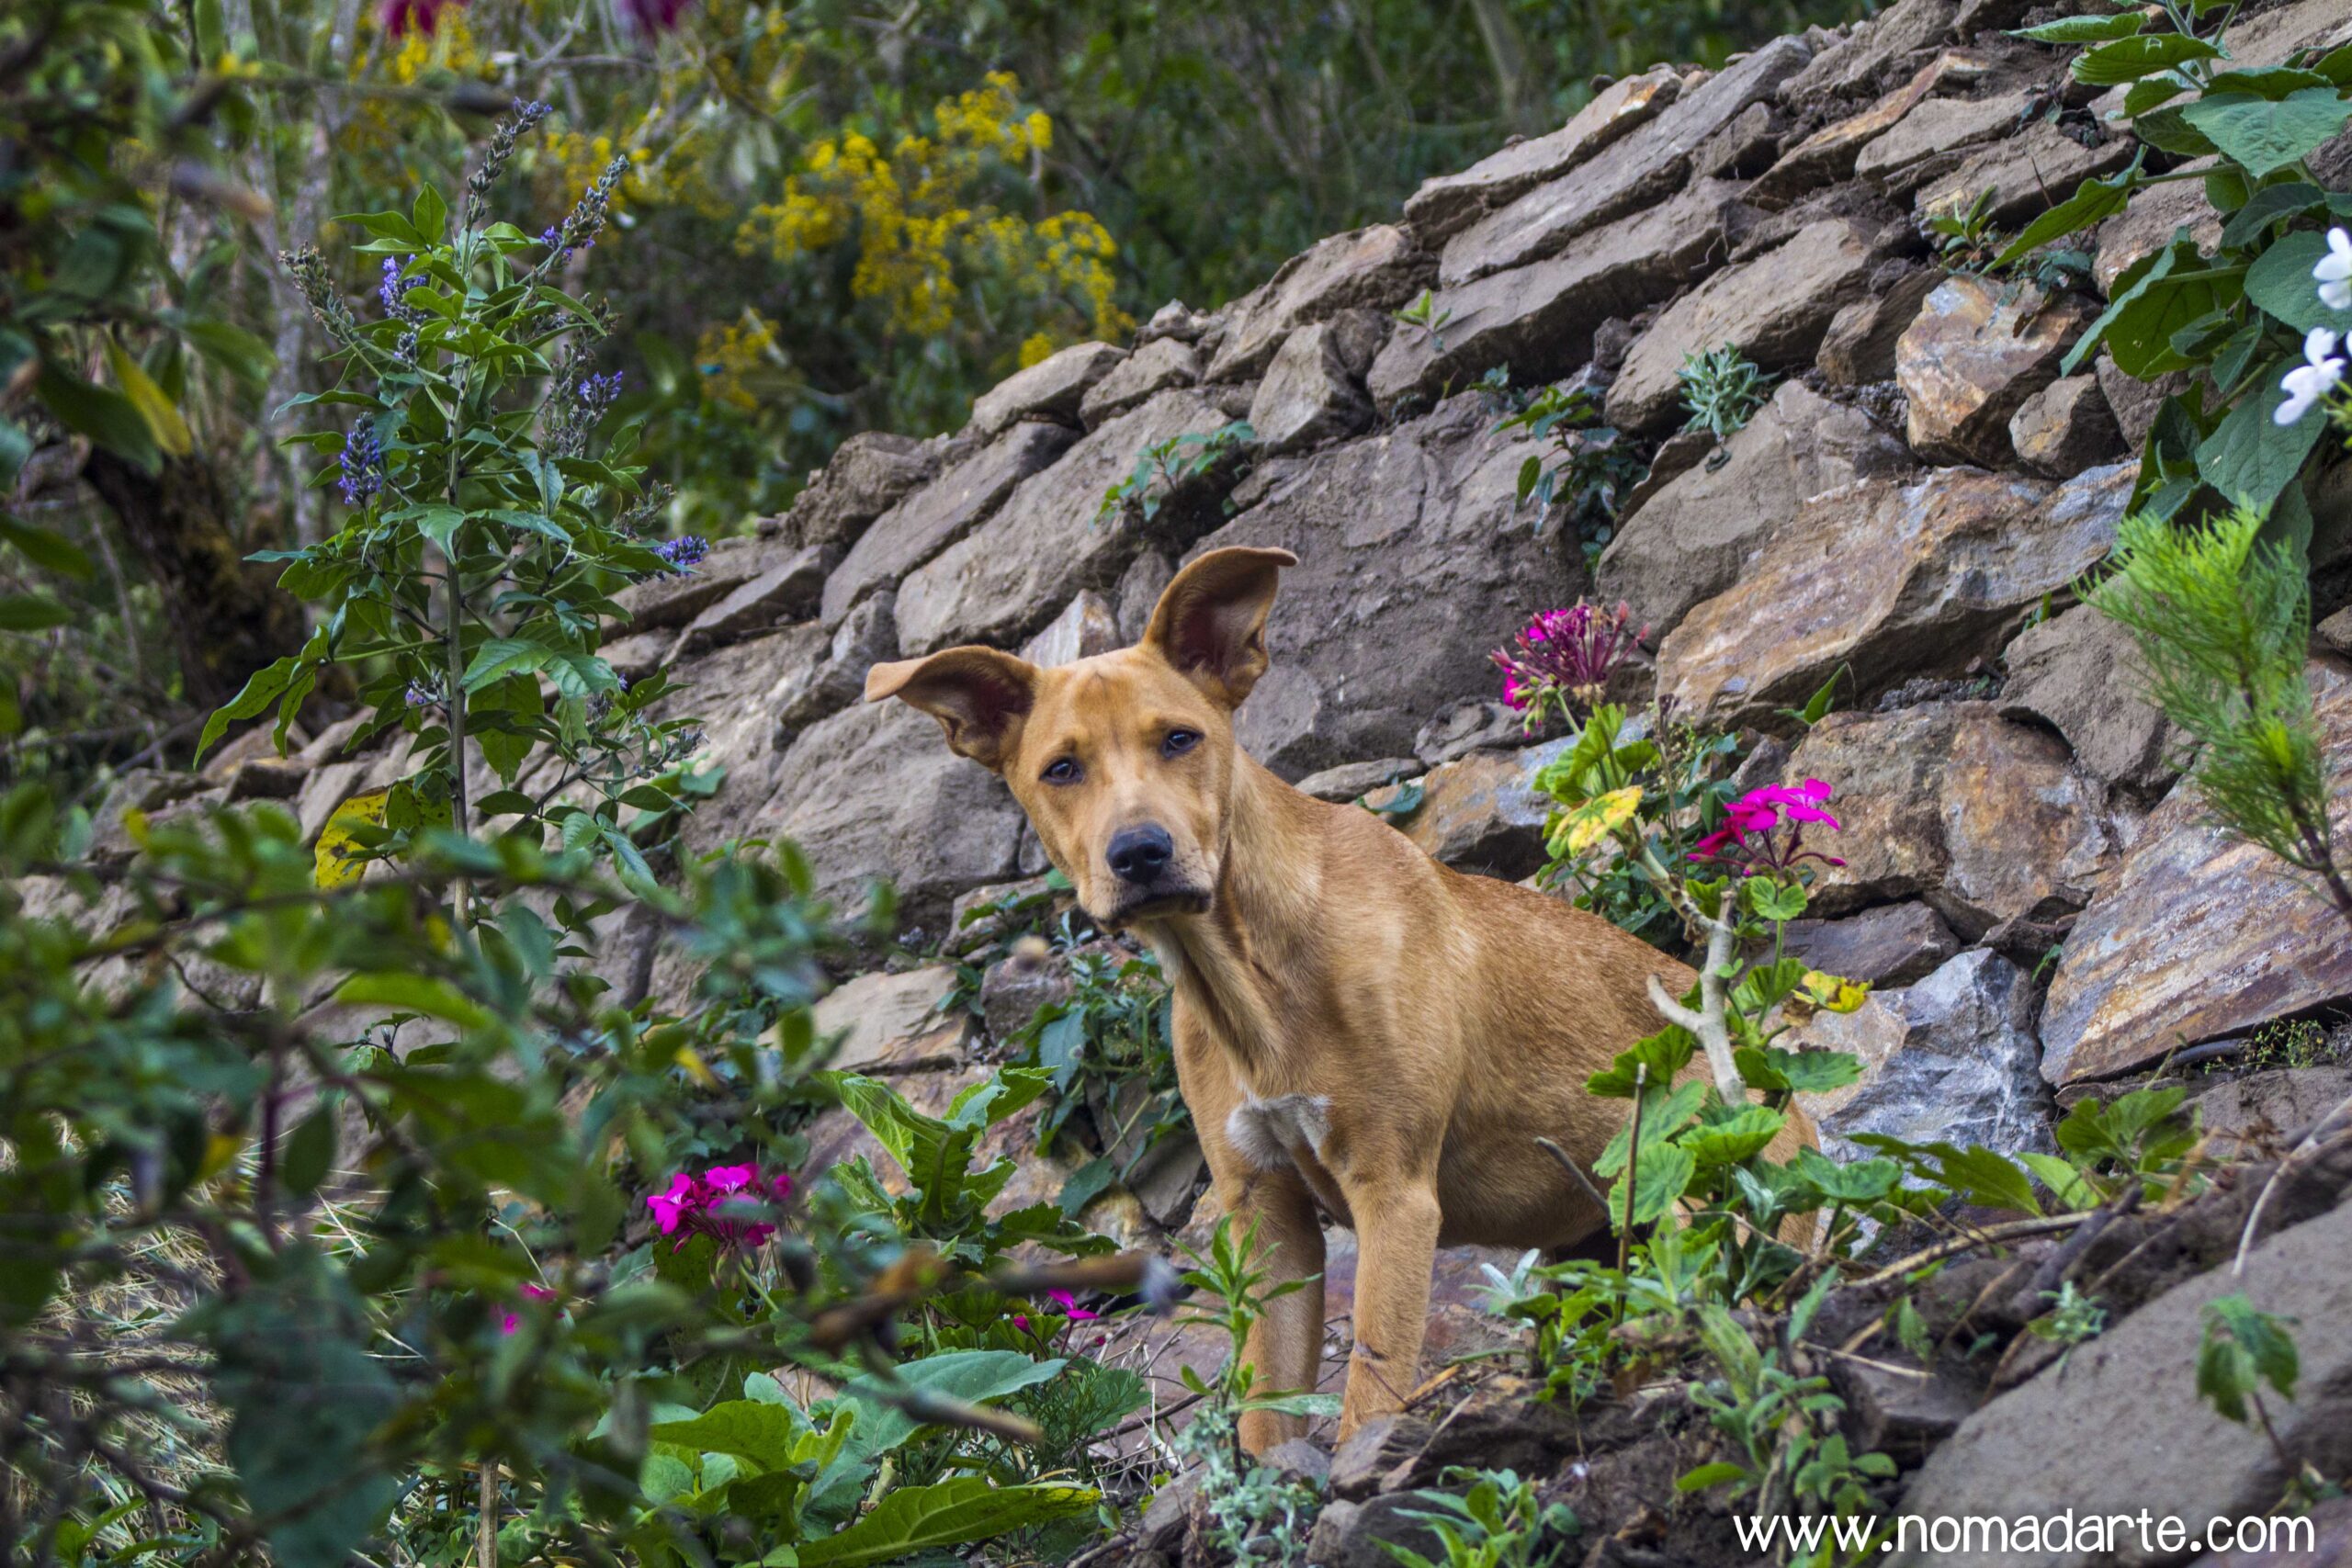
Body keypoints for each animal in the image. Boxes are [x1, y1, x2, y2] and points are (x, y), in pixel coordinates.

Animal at [866, 546, 1807, 1451]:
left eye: (1180, 739)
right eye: (1061, 768)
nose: (1140, 852)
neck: (1252, 974)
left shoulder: (1394, 1192)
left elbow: (1369, 1391)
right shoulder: (1266, 1215)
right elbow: (1265, 1416)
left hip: (1721, 1202)